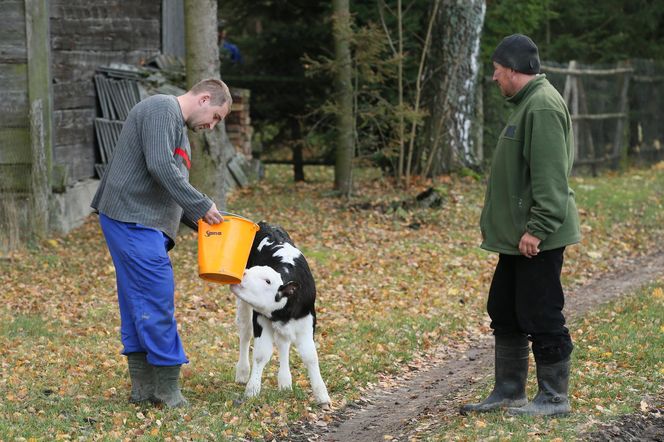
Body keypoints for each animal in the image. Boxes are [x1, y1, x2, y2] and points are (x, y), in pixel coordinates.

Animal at [230, 223, 330, 406]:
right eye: (252, 269)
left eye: (268, 281)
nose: (243, 272)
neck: (284, 311)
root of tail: (265, 223)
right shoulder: (260, 319)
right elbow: (261, 355)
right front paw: (252, 389)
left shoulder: (307, 321)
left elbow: (310, 356)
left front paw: (321, 395)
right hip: (244, 307)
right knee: (245, 334)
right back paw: (242, 372)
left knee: (283, 343)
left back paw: (284, 382)